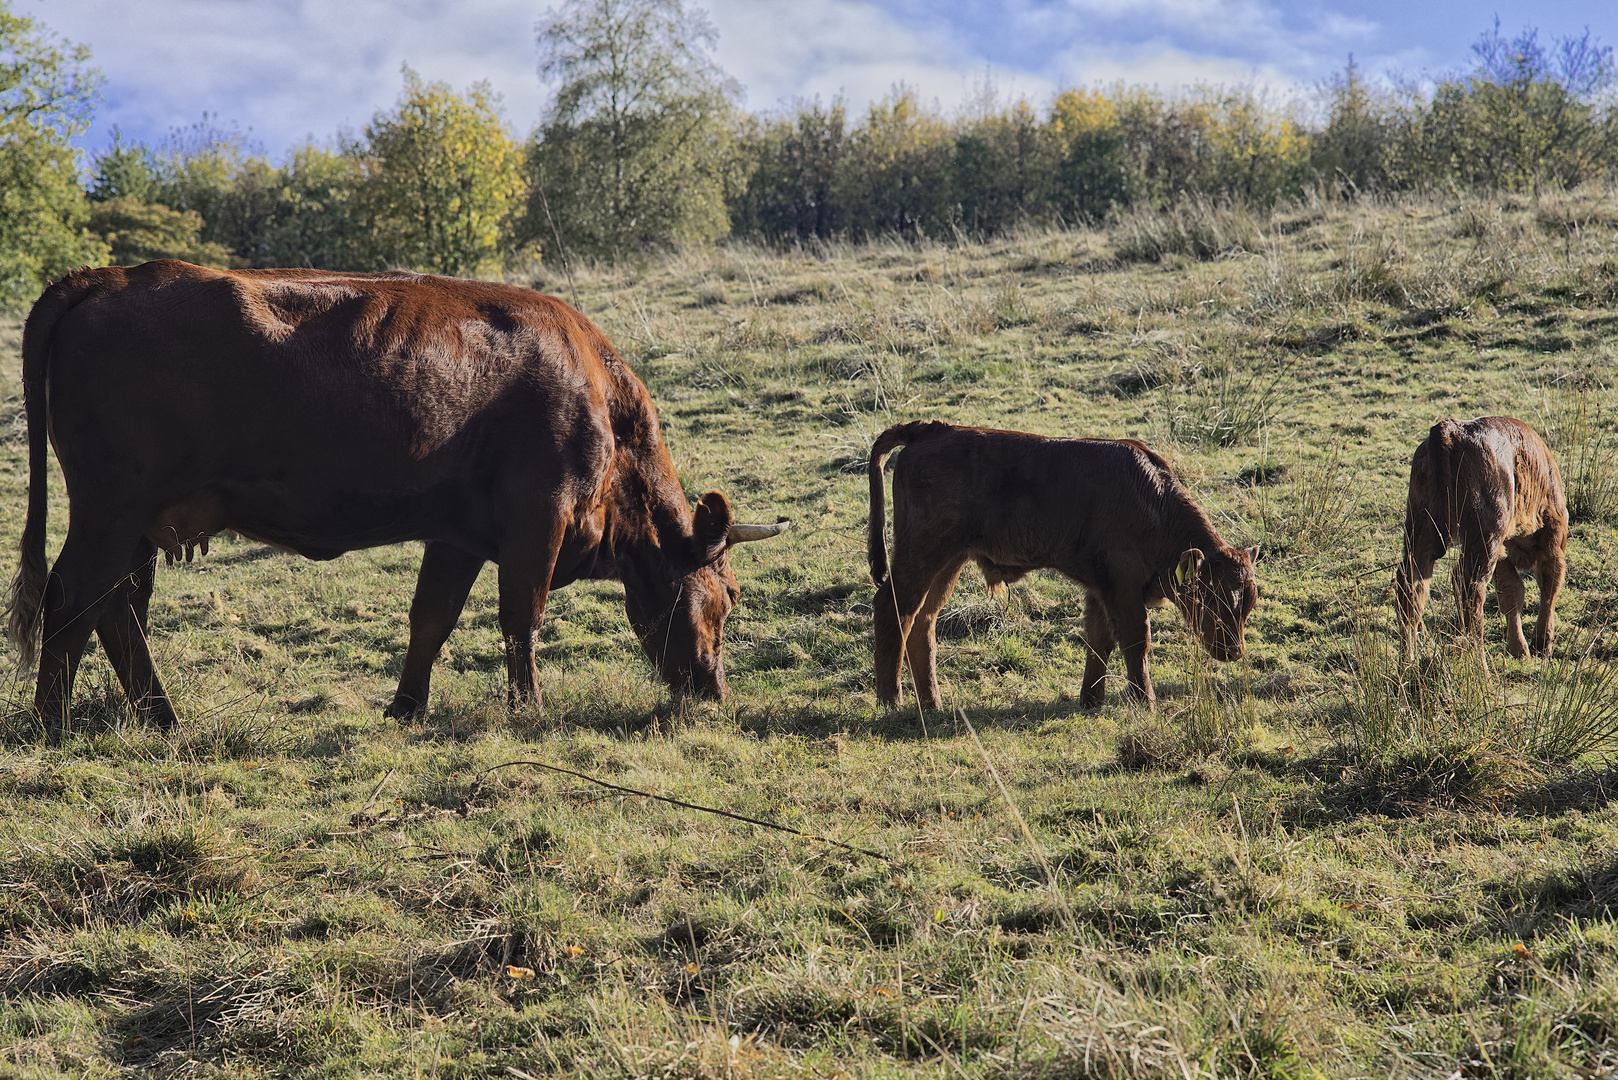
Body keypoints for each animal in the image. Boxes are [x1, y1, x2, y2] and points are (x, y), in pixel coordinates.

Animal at [4, 259, 789, 744]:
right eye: (727, 597)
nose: (715, 695)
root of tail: (107, 276)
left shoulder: (459, 533)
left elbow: (431, 619)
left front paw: (406, 709)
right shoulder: (537, 520)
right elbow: (521, 620)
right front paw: (528, 711)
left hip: (137, 523)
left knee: (119, 611)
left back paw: (161, 717)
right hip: (111, 509)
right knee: (75, 599)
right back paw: (52, 722)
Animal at [867, 420, 1255, 709]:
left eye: (1247, 604)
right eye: (1213, 597)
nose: (1234, 651)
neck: (1153, 503)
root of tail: (930, 430)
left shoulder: (1100, 589)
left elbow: (1100, 639)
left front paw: (1091, 700)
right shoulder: (1122, 586)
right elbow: (1136, 640)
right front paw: (1145, 701)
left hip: (949, 562)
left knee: (923, 619)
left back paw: (932, 703)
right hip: (923, 554)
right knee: (893, 607)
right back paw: (891, 700)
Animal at [1391, 417, 1566, 663]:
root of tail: (1449, 430)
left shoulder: (1501, 553)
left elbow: (1511, 591)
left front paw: (1520, 649)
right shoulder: (1552, 538)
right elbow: (1548, 586)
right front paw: (1540, 646)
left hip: (1421, 532)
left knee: (1411, 590)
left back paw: (1408, 661)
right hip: (1485, 537)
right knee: (1472, 591)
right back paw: (1480, 664)